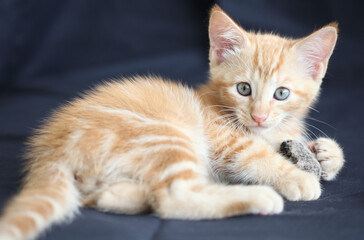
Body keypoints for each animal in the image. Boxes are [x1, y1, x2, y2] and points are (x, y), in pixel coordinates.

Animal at [0, 5, 344, 240]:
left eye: (281, 93)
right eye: (244, 89)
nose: (259, 116)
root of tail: (50, 150)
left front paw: (326, 153)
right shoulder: (224, 138)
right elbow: (257, 155)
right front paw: (298, 177)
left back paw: (123, 196)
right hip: (166, 135)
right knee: (174, 197)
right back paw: (259, 196)